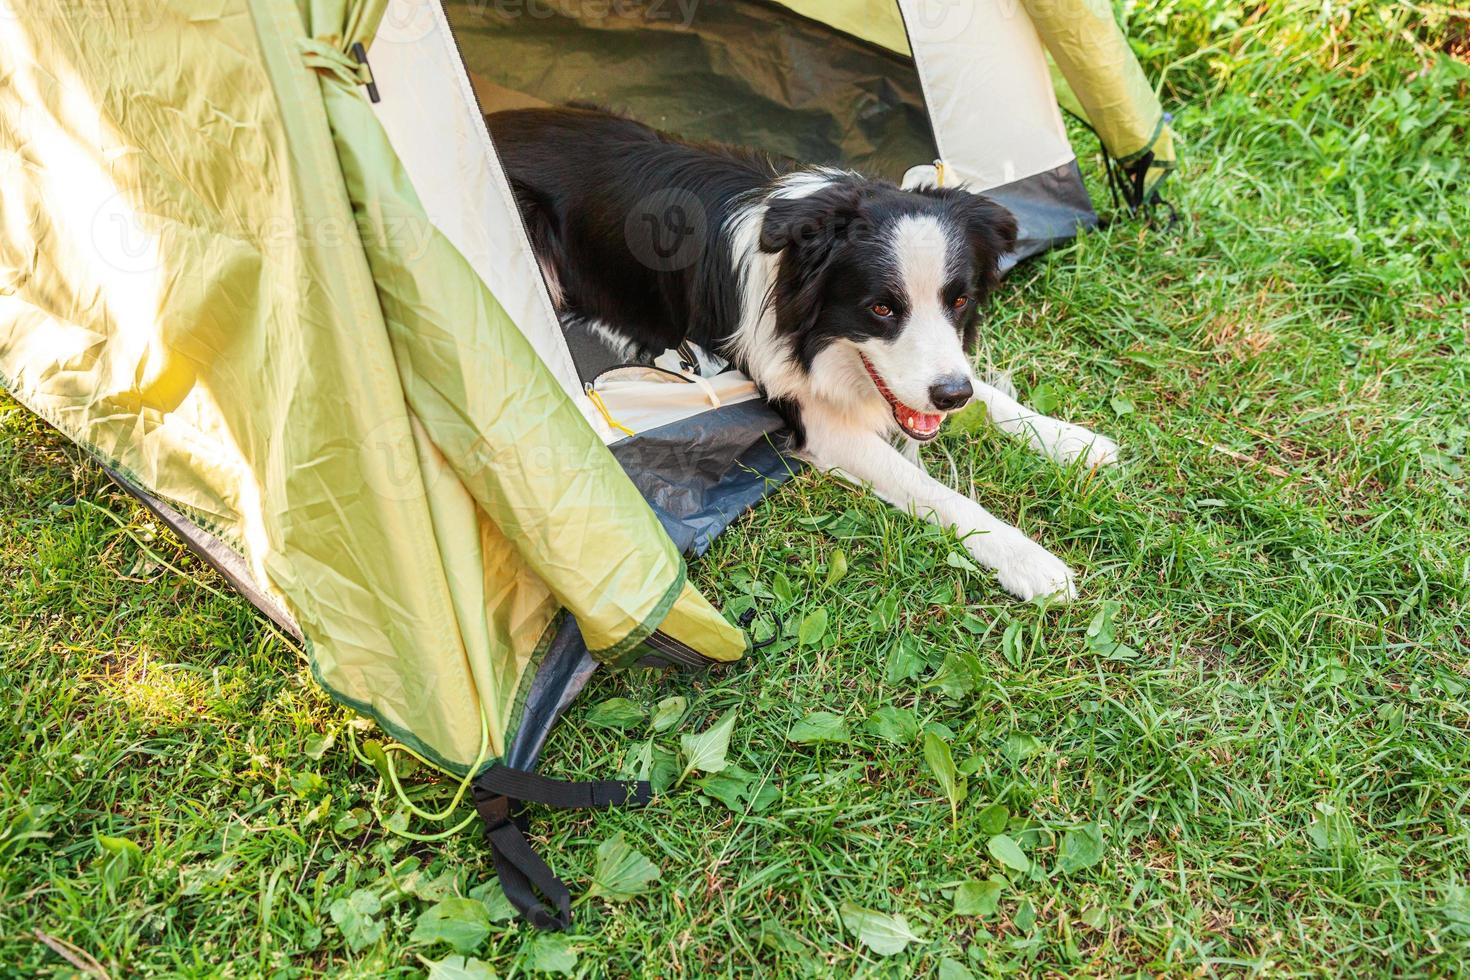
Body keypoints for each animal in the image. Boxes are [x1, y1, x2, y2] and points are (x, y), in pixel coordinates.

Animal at [488, 105, 1117, 599]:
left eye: (959, 300)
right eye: (881, 308)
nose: (949, 398)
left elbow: (990, 396)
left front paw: (1073, 441)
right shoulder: (811, 411)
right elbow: (936, 492)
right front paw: (1030, 561)